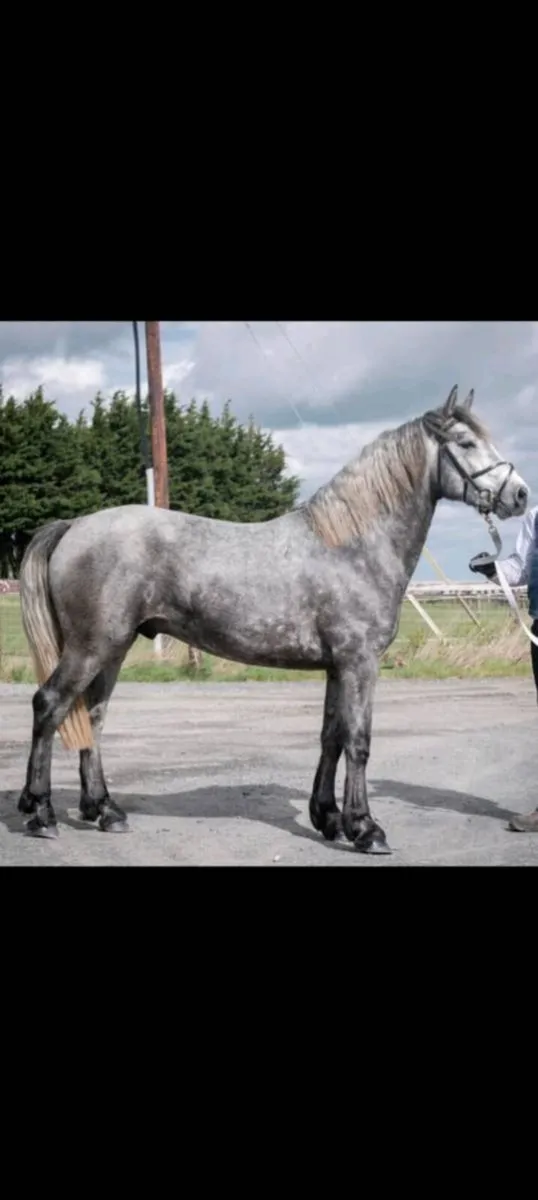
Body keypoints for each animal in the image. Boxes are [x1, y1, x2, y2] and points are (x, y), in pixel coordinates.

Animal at [16, 384, 529, 853]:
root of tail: (75, 526)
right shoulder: (359, 663)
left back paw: (105, 810)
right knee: (50, 705)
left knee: (93, 717)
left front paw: (328, 818)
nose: (520, 495)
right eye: (465, 442)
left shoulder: (336, 667)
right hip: (91, 647)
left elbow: (330, 737)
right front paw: (366, 829)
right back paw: (40, 812)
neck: (351, 545)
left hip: (113, 649)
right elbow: (359, 741)